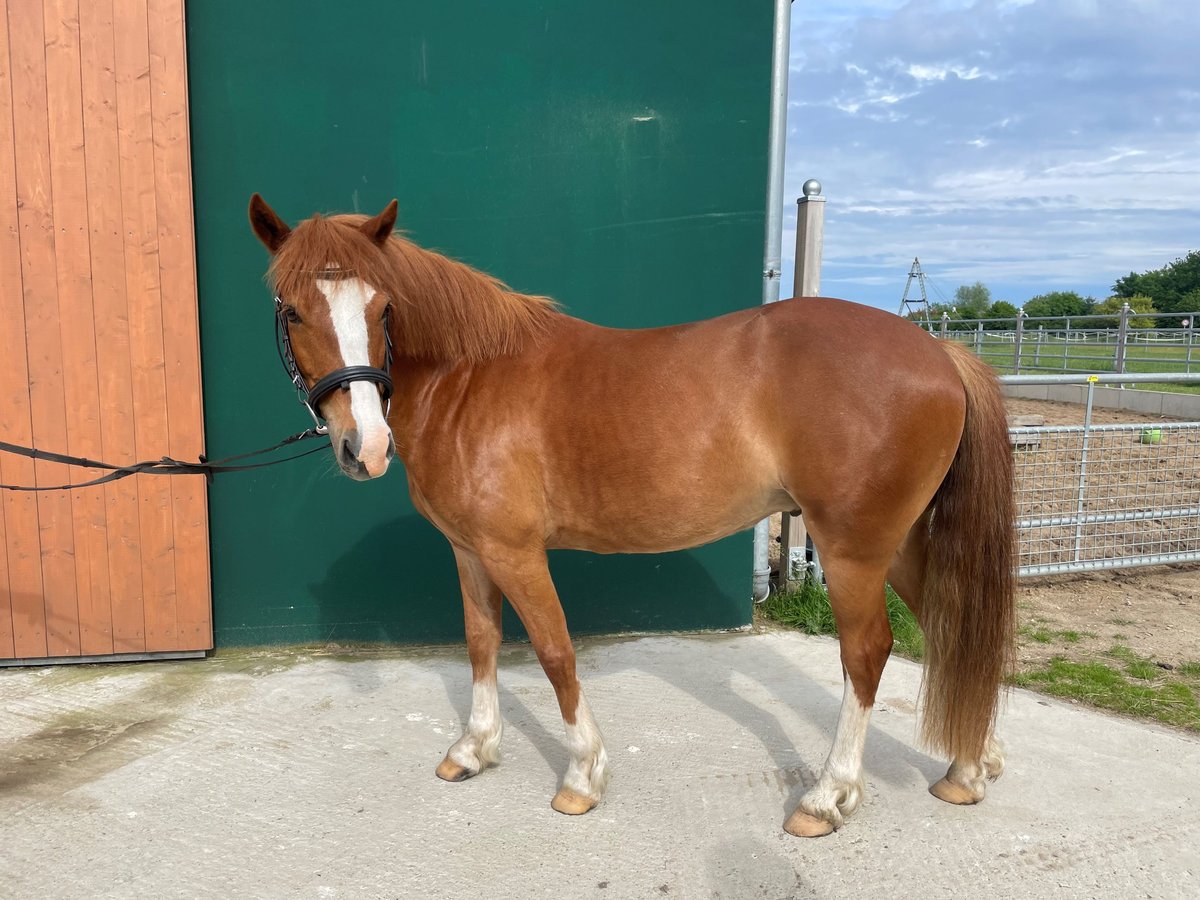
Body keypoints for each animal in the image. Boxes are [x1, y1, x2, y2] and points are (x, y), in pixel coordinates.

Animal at [246, 195, 1012, 840]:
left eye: (381, 307)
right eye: (293, 310)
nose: (365, 448)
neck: (469, 377)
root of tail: (938, 350)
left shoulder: (515, 551)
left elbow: (554, 652)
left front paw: (583, 777)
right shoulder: (470, 551)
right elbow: (480, 642)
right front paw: (474, 749)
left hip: (853, 551)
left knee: (867, 653)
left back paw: (827, 797)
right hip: (902, 545)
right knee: (949, 628)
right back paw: (969, 768)